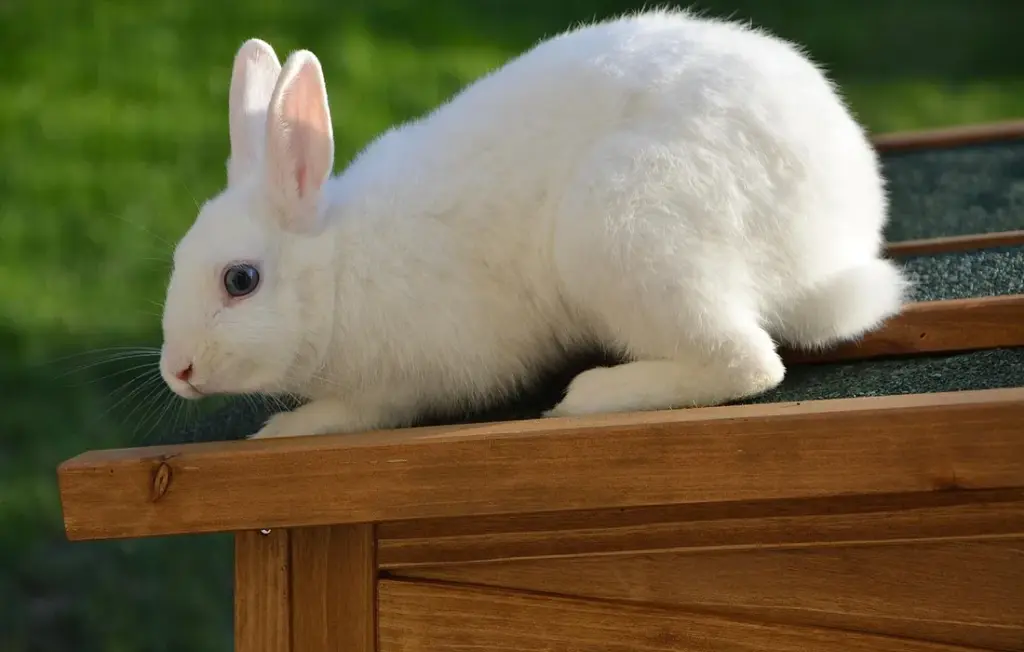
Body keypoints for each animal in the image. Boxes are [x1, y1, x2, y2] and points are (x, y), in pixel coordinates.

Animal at [158, 9, 908, 440]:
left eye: (241, 280)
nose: (178, 371)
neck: (341, 266)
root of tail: (829, 252)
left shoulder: (407, 379)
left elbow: (361, 413)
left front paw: (284, 428)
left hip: (625, 233)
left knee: (748, 362)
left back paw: (590, 397)